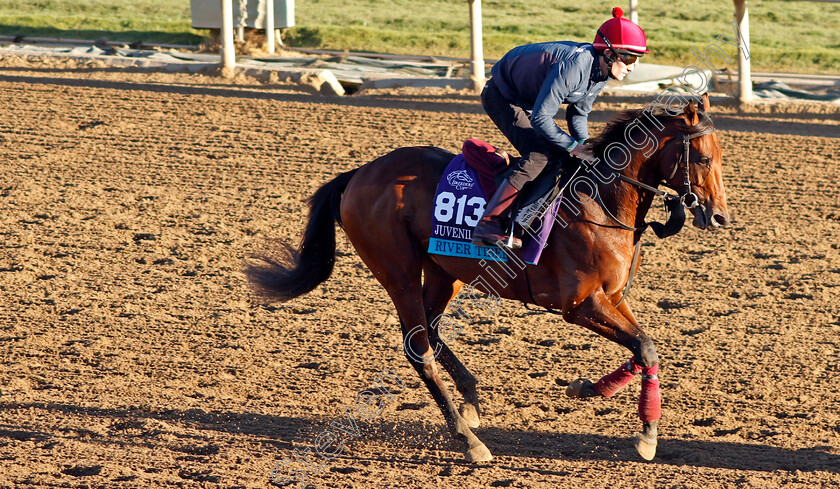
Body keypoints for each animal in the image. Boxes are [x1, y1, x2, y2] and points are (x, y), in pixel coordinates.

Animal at [244, 94, 728, 462]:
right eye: (704, 159)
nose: (720, 217)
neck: (599, 203)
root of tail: (357, 174)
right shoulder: (579, 303)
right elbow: (644, 346)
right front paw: (646, 436)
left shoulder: (613, 295)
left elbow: (646, 347)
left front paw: (591, 389)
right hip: (398, 272)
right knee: (417, 346)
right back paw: (469, 439)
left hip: (444, 271)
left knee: (432, 330)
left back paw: (471, 401)